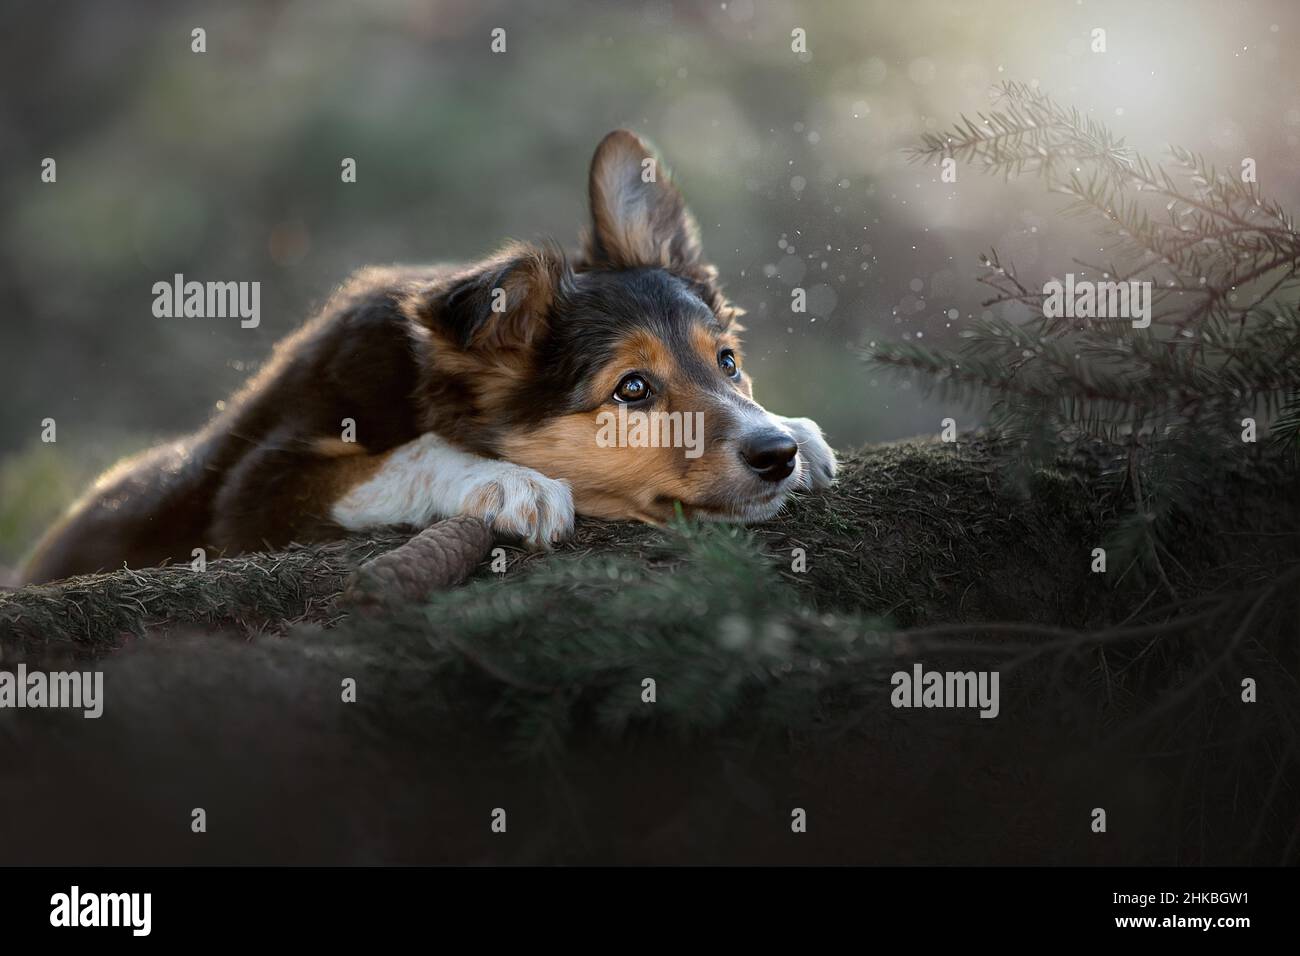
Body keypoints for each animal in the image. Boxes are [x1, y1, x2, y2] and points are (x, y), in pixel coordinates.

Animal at [25, 130, 837, 587]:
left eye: (727, 362)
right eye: (631, 389)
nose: (777, 456)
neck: (420, 377)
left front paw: (807, 431)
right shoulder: (252, 496)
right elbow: (407, 455)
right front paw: (508, 481)